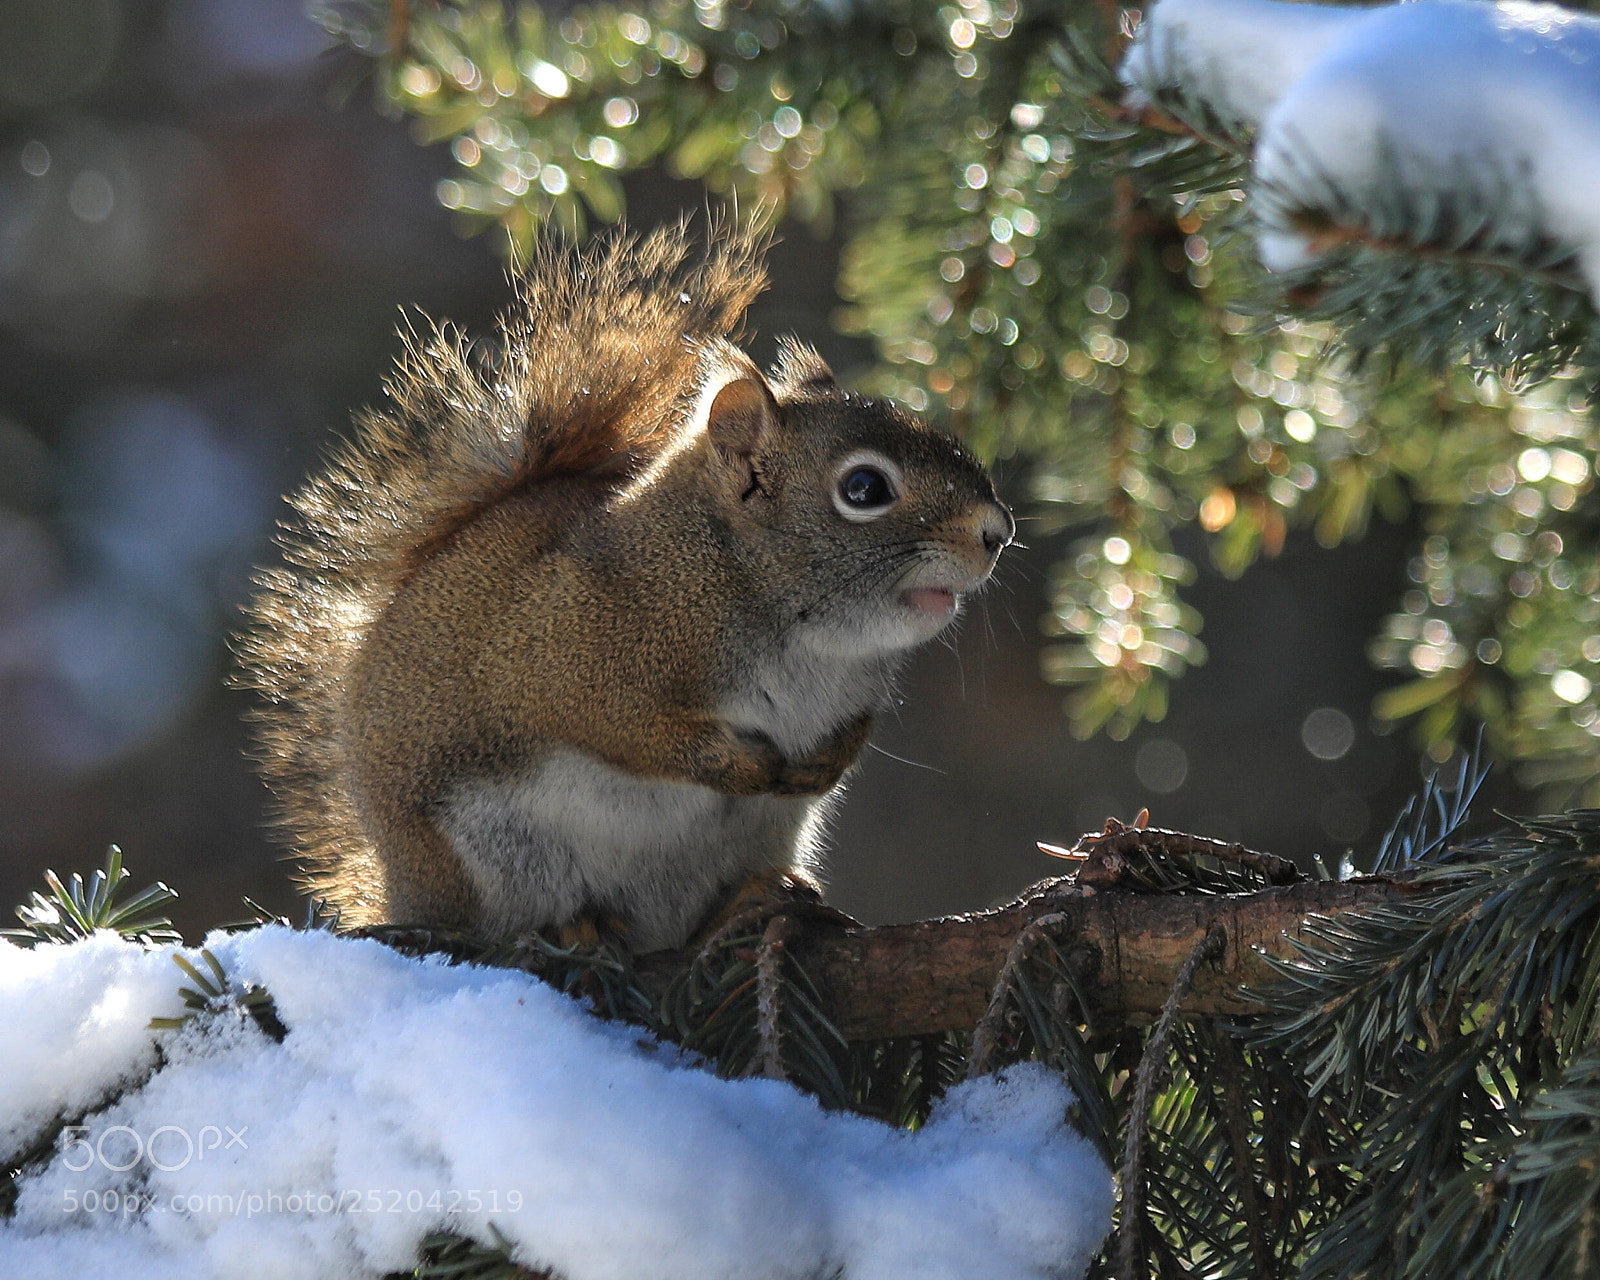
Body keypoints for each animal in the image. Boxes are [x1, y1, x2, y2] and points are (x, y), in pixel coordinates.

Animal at [238, 223, 1013, 952]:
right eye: (864, 489)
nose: (998, 530)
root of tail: (406, 892)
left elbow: (849, 732)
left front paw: (828, 760)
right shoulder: (569, 652)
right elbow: (625, 729)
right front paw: (737, 762)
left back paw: (755, 901)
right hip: (496, 856)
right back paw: (573, 930)